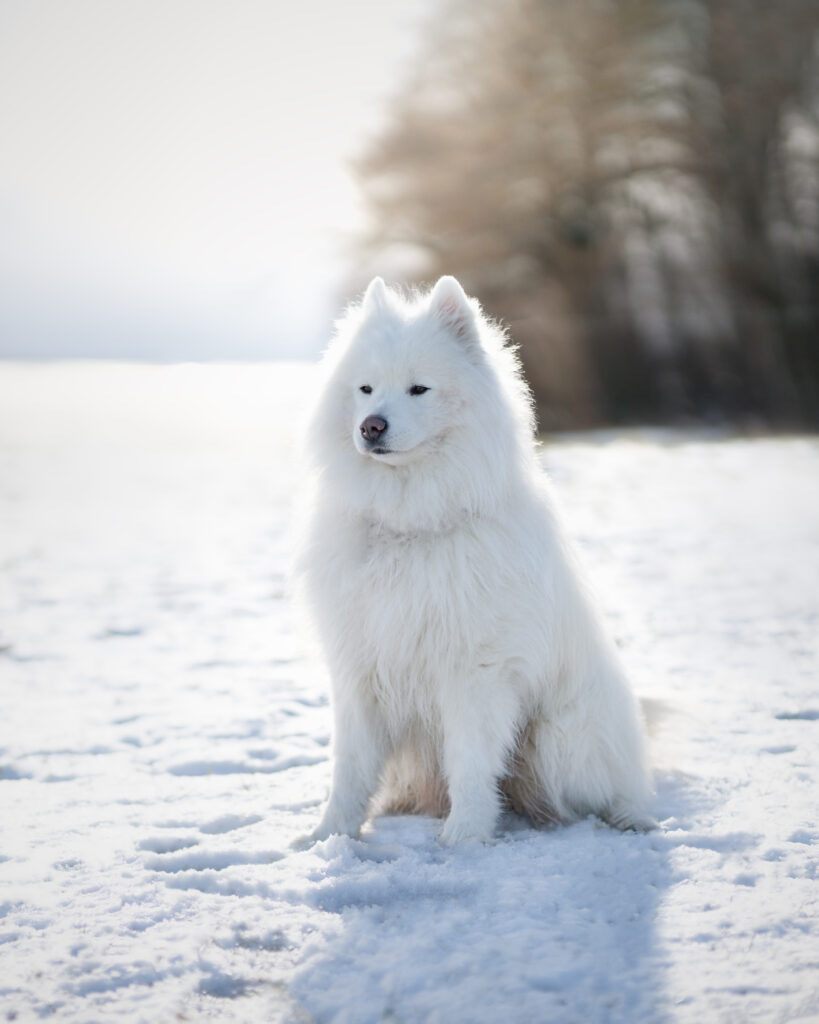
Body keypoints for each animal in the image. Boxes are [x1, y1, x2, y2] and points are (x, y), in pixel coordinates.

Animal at [296, 276, 655, 843]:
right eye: (365, 389)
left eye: (419, 389)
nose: (371, 427)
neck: (411, 525)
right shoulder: (359, 667)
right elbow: (349, 768)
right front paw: (329, 836)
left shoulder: (475, 672)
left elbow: (470, 763)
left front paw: (463, 837)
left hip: (559, 736)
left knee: (607, 793)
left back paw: (627, 818)